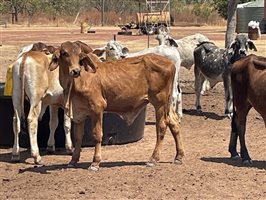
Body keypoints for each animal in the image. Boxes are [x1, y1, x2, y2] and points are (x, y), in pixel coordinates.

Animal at [48, 41, 184, 171]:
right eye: (64, 53)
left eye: (80, 55)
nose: (75, 71)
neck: (78, 82)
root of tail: (170, 64)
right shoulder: (79, 113)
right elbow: (77, 137)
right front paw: (73, 160)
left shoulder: (97, 108)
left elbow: (97, 135)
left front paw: (95, 162)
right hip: (167, 104)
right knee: (174, 123)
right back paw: (179, 156)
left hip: (159, 103)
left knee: (161, 126)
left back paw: (153, 159)